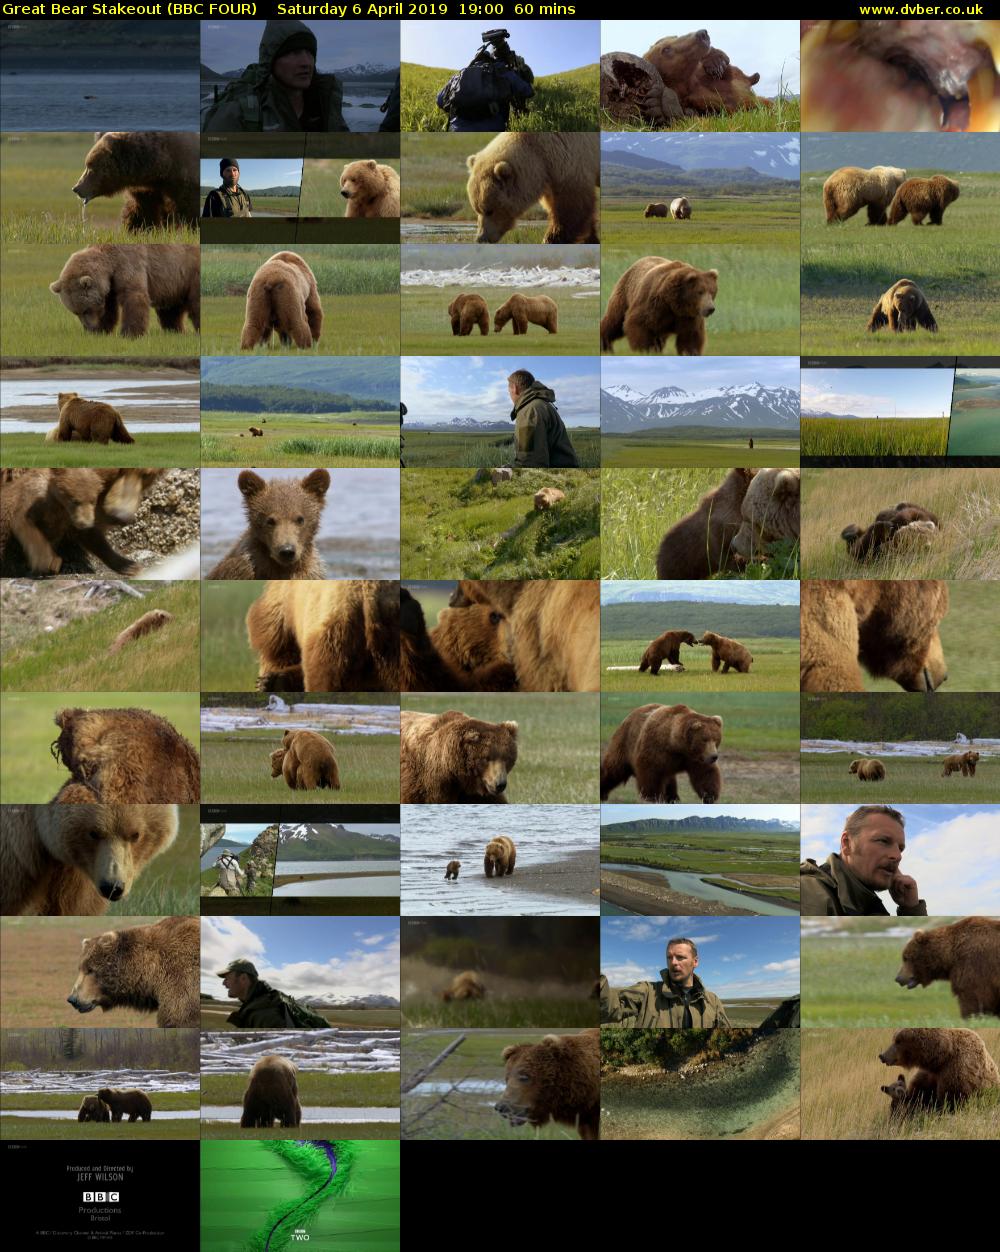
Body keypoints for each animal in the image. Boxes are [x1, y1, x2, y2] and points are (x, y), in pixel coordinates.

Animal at [50, 244, 199, 337]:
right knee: (170, 310)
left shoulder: (128, 263)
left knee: (194, 303)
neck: (111, 263)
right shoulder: (110, 285)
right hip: (173, 284)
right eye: (76, 312)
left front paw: (130, 333)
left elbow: (133, 296)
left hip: (188, 272)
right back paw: (175, 330)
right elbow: (108, 309)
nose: (89, 328)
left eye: (86, 310)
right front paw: (102, 330)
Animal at [465, 132, 600, 244]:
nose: (481, 238)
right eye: (476, 209)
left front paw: (551, 239)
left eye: (490, 211)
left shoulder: (570, 159)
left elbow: (572, 208)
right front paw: (591, 238)